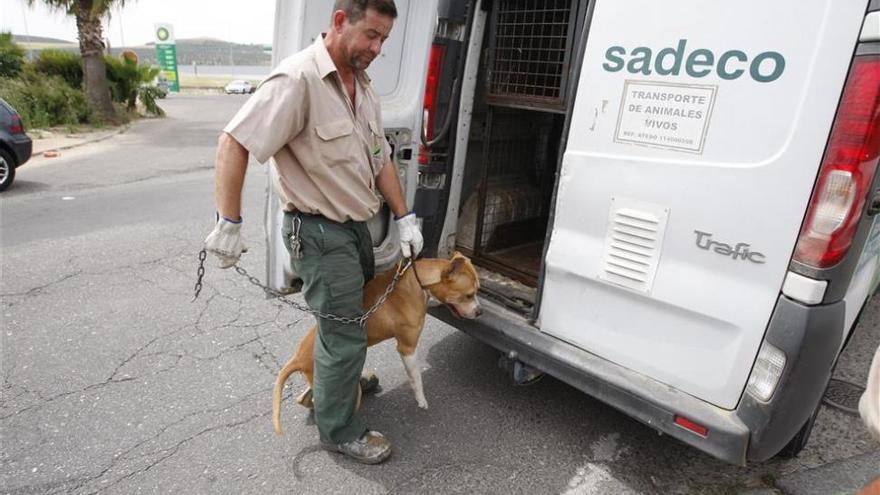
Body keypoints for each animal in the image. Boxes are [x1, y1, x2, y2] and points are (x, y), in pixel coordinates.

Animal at [274, 252, 482, 434]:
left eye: (477, 291)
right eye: (469, 295)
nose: (480, 312)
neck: (417, 280)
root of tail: (298, 356)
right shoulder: (407, 348)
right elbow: (416, 377)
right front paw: (421, 399)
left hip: (314, 378)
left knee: (307, 398)